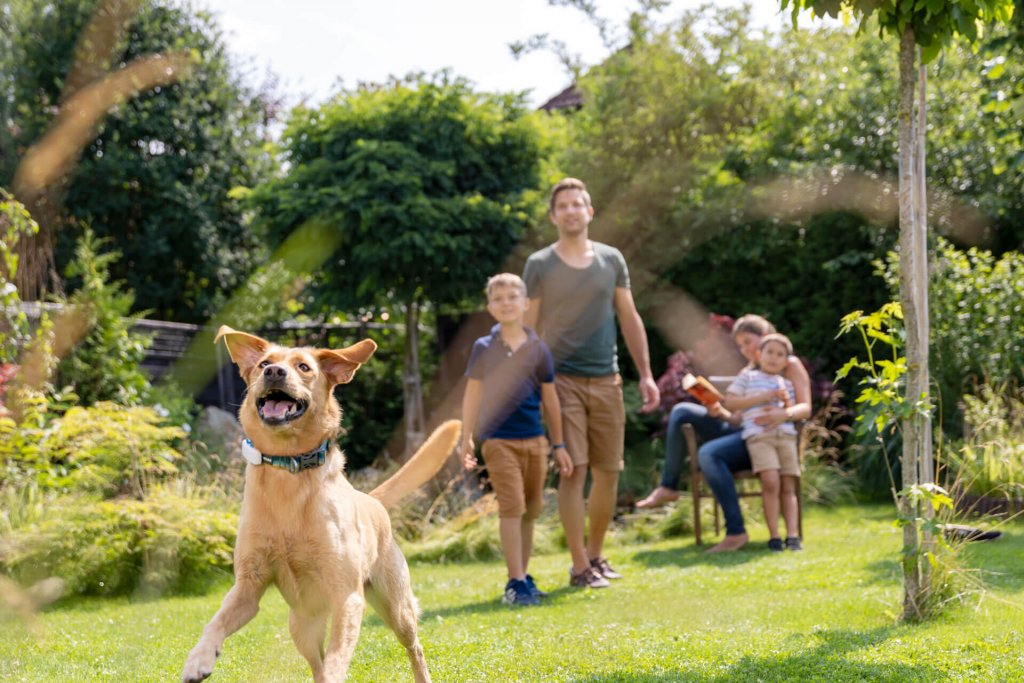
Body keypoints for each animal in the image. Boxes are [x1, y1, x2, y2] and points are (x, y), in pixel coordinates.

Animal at [181, 327, 460, 683]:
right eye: (263, 364)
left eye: (304, 367)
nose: (274, 372)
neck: (288, 468)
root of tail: (370, 499)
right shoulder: (248, 586)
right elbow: (214, 622)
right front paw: (199, 659)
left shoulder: (347, 597)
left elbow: (338, 658)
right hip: (301, 625)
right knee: (316, 664)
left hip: (397, 609)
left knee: (414, 648)